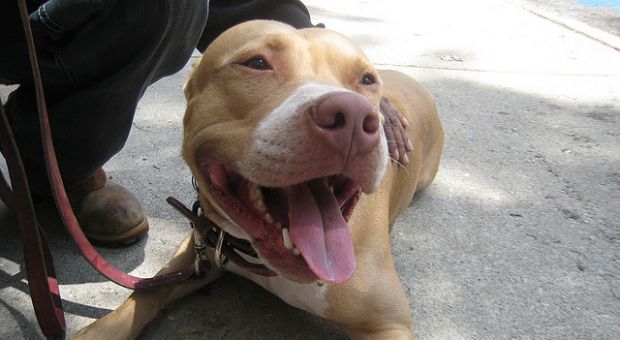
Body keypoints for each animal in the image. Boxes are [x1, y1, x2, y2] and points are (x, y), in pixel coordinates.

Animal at [72, 20, 444, 340]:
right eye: (256, 63)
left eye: (366, 79)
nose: (352, 116)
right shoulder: (200, 247)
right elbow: (147, 291)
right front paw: (99, 330)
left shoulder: (389, 324)